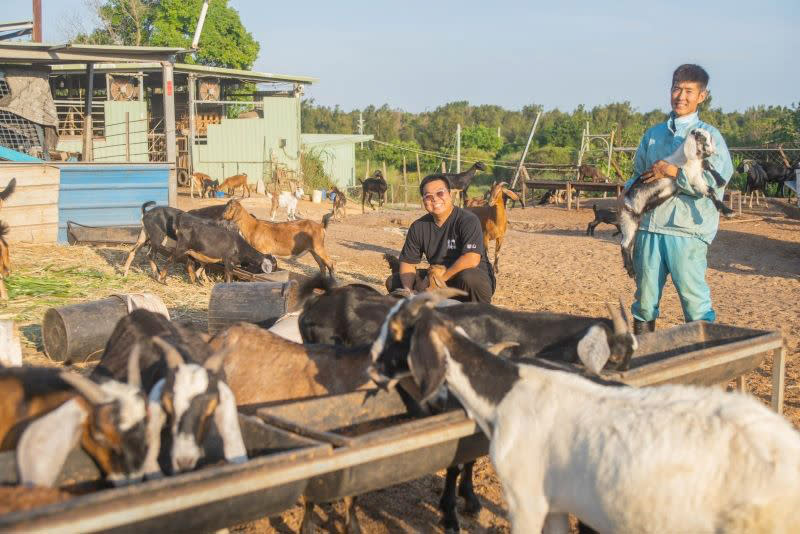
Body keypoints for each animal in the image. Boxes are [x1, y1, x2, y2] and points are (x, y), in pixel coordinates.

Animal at [620, 129, 736, 278]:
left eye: (709, 138)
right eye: (702, 139)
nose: (712, 151)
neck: (688, 159)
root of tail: (626, 200)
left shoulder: (696, 172)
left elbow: (708, 165)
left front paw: (721, 180)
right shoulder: (693, 178)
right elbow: (710, 190)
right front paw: (727, 211)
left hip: (633, 222)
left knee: (628, 243)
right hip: (628, 219)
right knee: (624, 244)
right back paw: (631, 270)